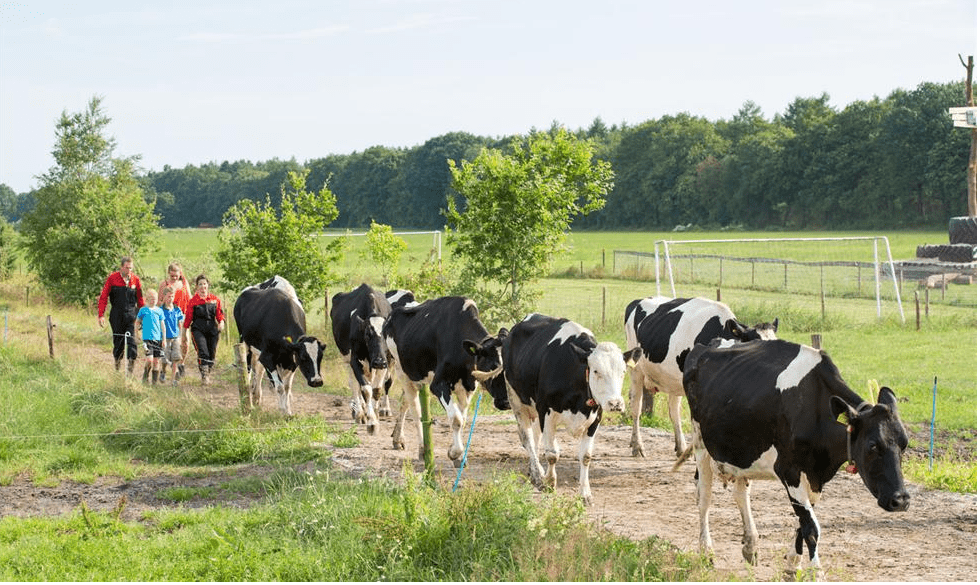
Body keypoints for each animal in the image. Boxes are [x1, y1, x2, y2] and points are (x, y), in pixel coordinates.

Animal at [234, 274, 326, 416]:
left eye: (320, 357)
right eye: (304, 357)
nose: (317, 381)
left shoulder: (291, 361)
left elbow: (286, 387)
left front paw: (287, 411)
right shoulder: (267, 357)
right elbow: (280, 387)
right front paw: (283, 411)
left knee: (259, 372)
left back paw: (257, 397)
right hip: (245, 343)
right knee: (248, 371)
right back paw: (249, 401)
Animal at [498, 312, 644, 504]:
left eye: (623, 372)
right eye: (596, 371)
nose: (615, 404)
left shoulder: (595, 418)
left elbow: (586, 456)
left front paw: (585, 493)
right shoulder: (546, 412)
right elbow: (552, 454)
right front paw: (550, 482)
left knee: (536, 437)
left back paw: (535, 471)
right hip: (516, 400)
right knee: (527, 437)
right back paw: (537, 474)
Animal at [624, 296, 776, 456]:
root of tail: (638, 300)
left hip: (673, 380)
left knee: (674, 410)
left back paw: (681, 447)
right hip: (636, 370)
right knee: (636, 406)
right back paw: (637, 446)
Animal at [672, 340, 912, 572]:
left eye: (904, 444)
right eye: (873, 446)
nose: (900, 500)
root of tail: (704, 346)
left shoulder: (815, 477)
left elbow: (802, 522)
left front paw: (791, 563)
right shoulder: (789, 471)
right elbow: (811, 527)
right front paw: (816, 573)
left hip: (741, 452)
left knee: (741, 494)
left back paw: (750, 546)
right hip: (701, 444)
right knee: (704, 498)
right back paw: (706, 552)